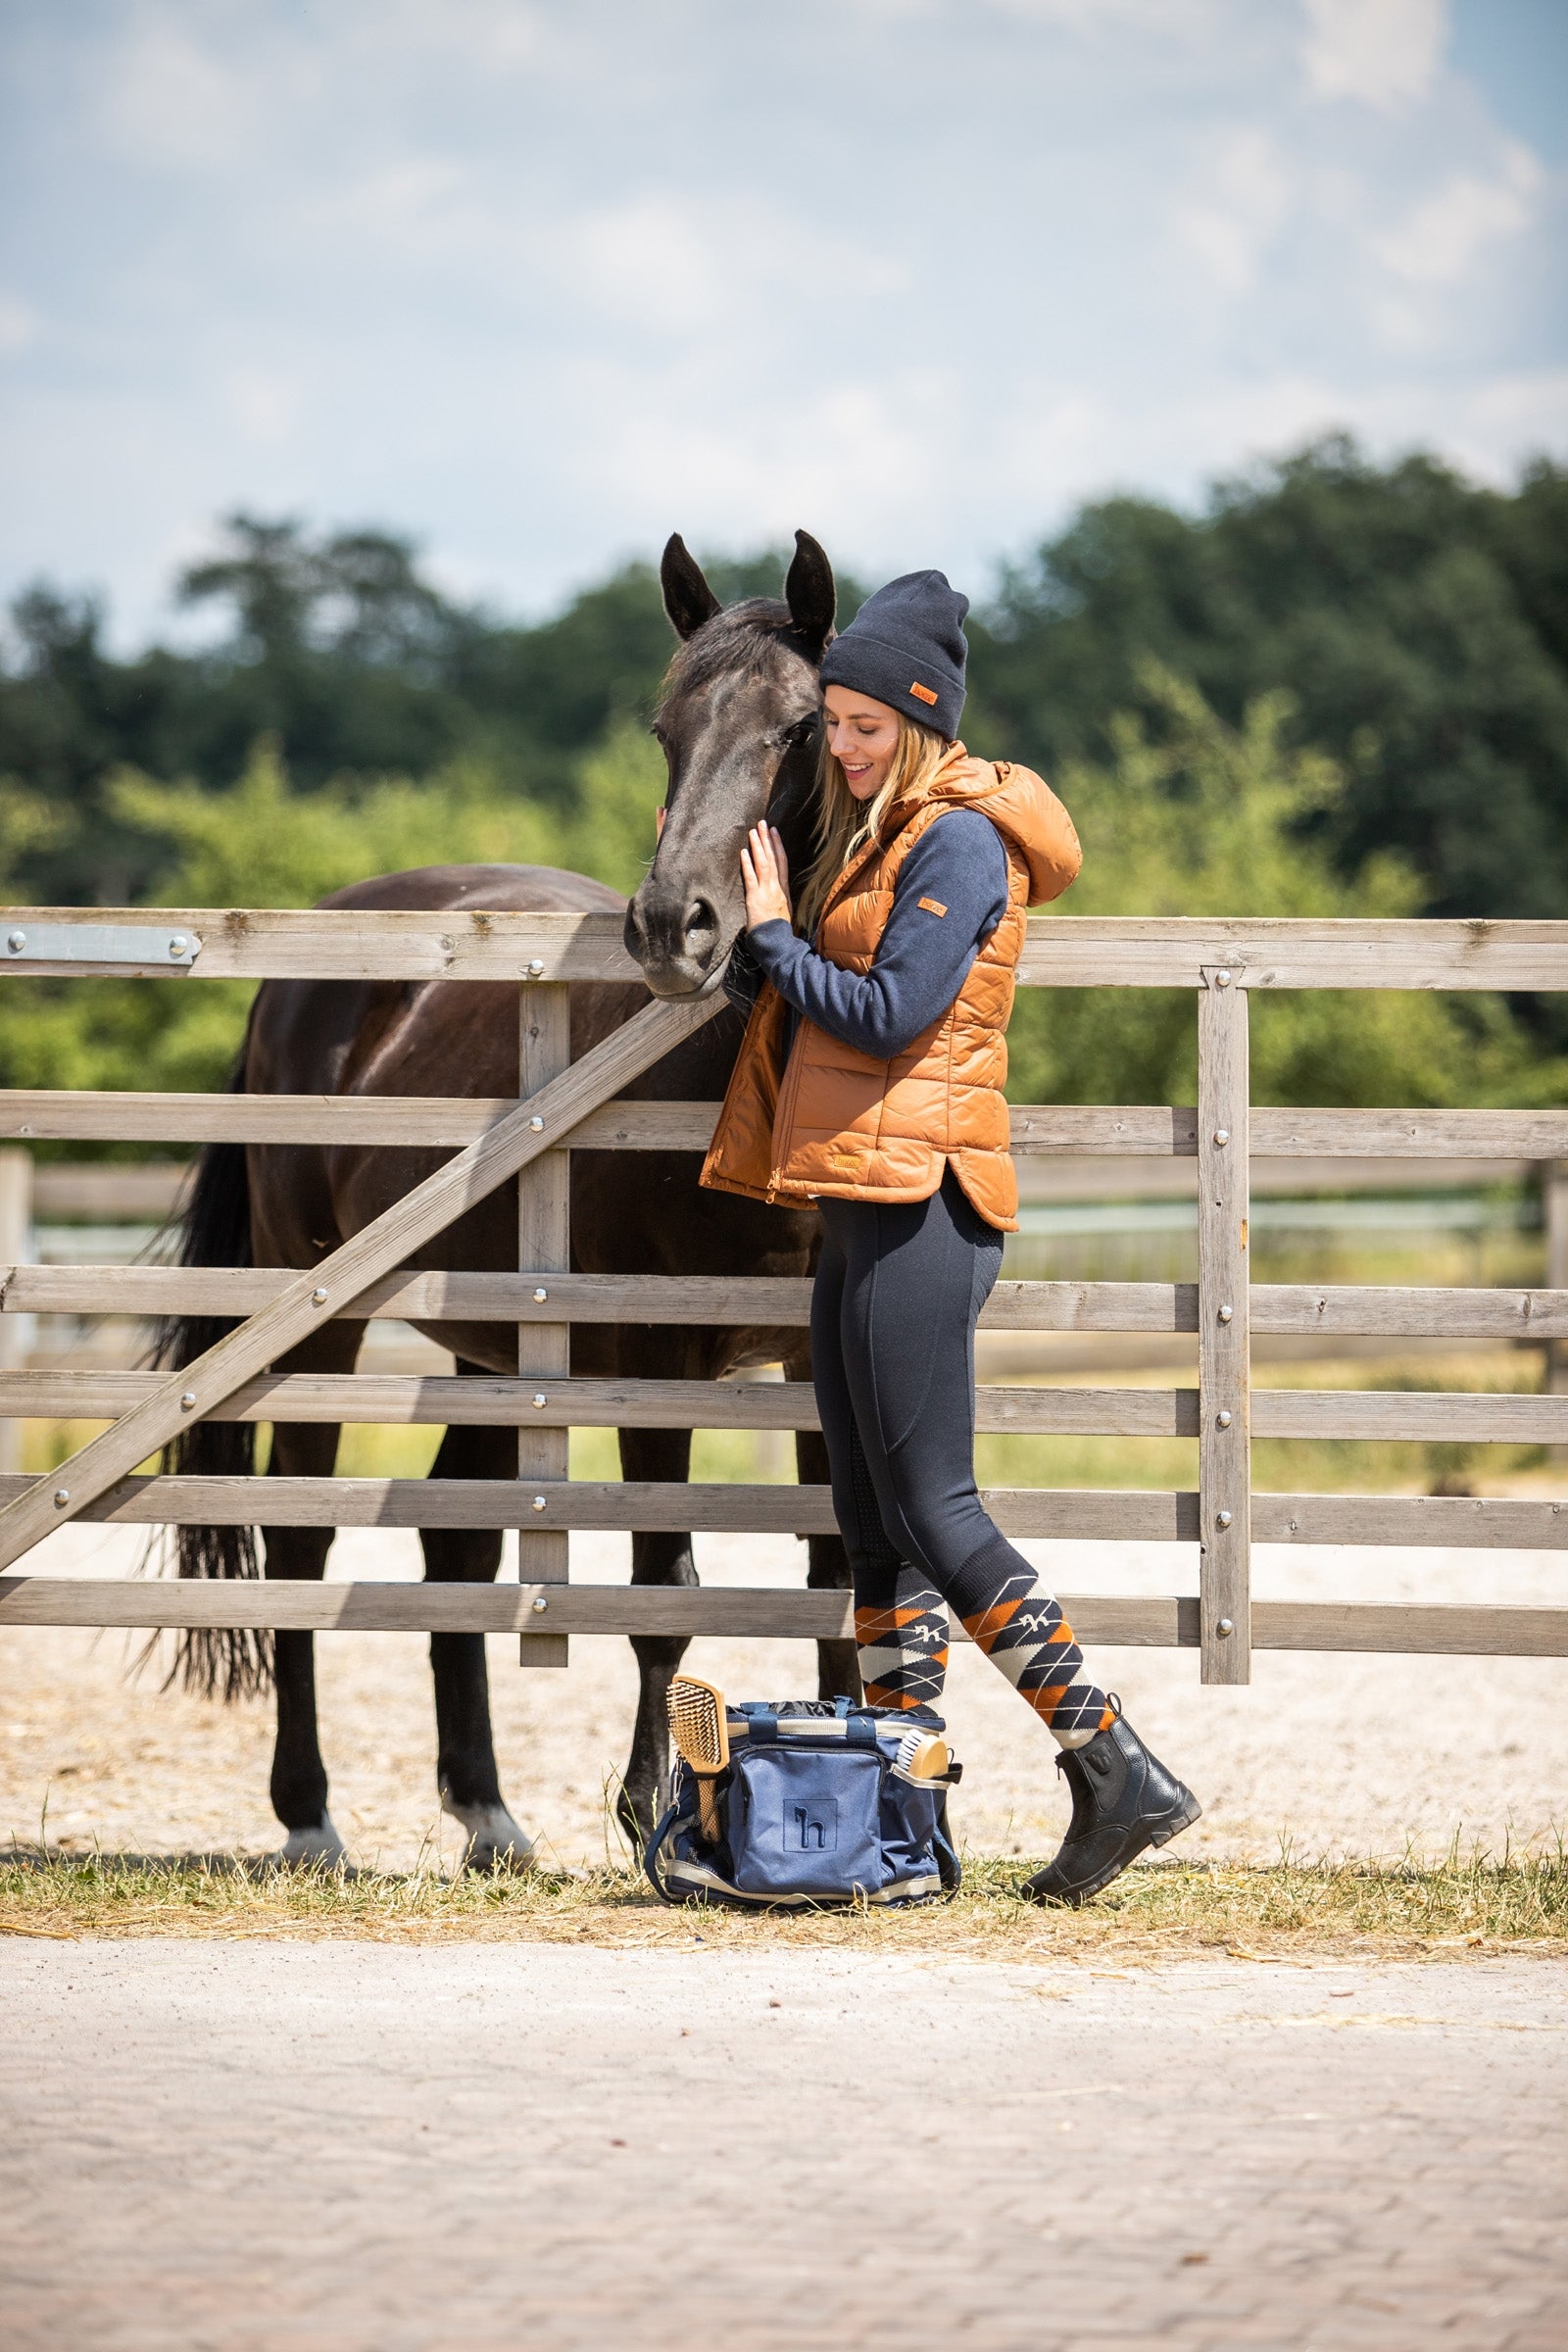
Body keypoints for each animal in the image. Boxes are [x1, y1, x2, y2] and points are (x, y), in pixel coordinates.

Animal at [159, 530, 855, 1867]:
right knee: (303, 1539)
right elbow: (662, 1589)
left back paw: (485, 1810)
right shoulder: (657, 1362)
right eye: (664, 727)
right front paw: (650, 1813)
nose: (674, 925)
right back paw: (309, 1817)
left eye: (800, 728)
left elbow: (836, 1569)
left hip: (492, 1347)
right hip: (320, 1324)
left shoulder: (816, 1359)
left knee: (457, 1533)